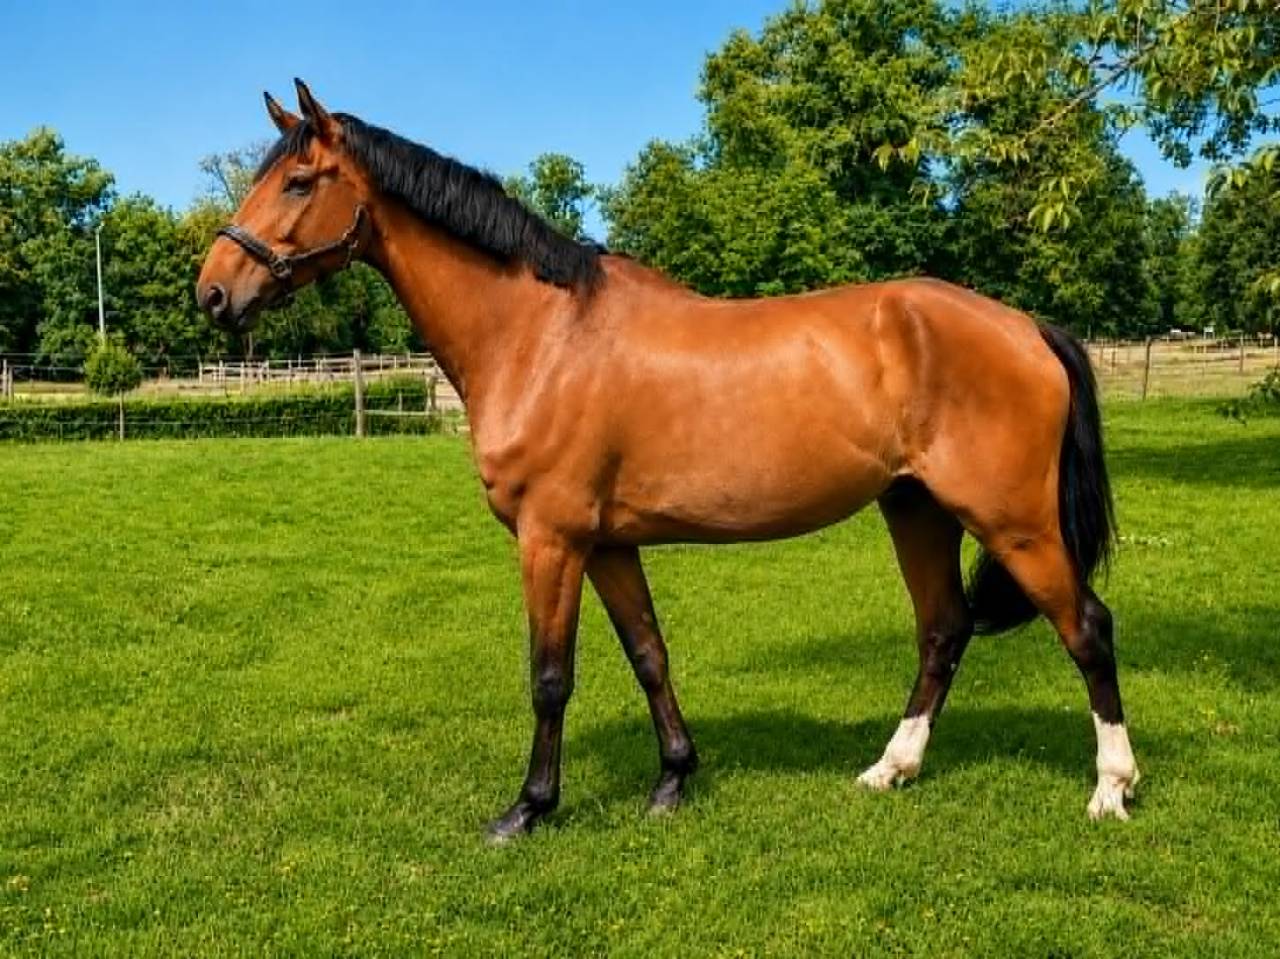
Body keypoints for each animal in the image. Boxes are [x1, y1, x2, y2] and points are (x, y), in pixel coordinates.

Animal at [197, 81, 1139, 842]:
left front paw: (530, 807)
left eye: (299, 181)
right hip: (916, 508)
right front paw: (674, 780)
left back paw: (1111, 788)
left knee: (1087, 628)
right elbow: (649, 653)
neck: (540, 335)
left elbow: (550, 675)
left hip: (1015, 521)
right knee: (943, 629)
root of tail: (1027, 327)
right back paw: (891, 768)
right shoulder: (609, 542)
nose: (212, 291)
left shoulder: (551, 538)